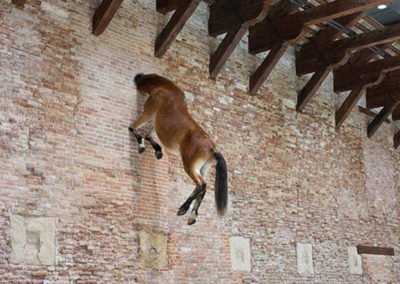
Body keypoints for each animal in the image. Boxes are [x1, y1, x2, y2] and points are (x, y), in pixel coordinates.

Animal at [130, 73, 227, 224]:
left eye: (145, 79)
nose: (136, 77)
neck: (166, 92)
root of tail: (212, 149)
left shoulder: (147, 115)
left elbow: (133, 129)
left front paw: (141, 146)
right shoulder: (156, 125)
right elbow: (149, 136)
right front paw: (158, 152)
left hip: (189, 166)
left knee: (201, 185)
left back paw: (184, 208)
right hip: (202, 169)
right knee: (202, 188)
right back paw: (192, 215)